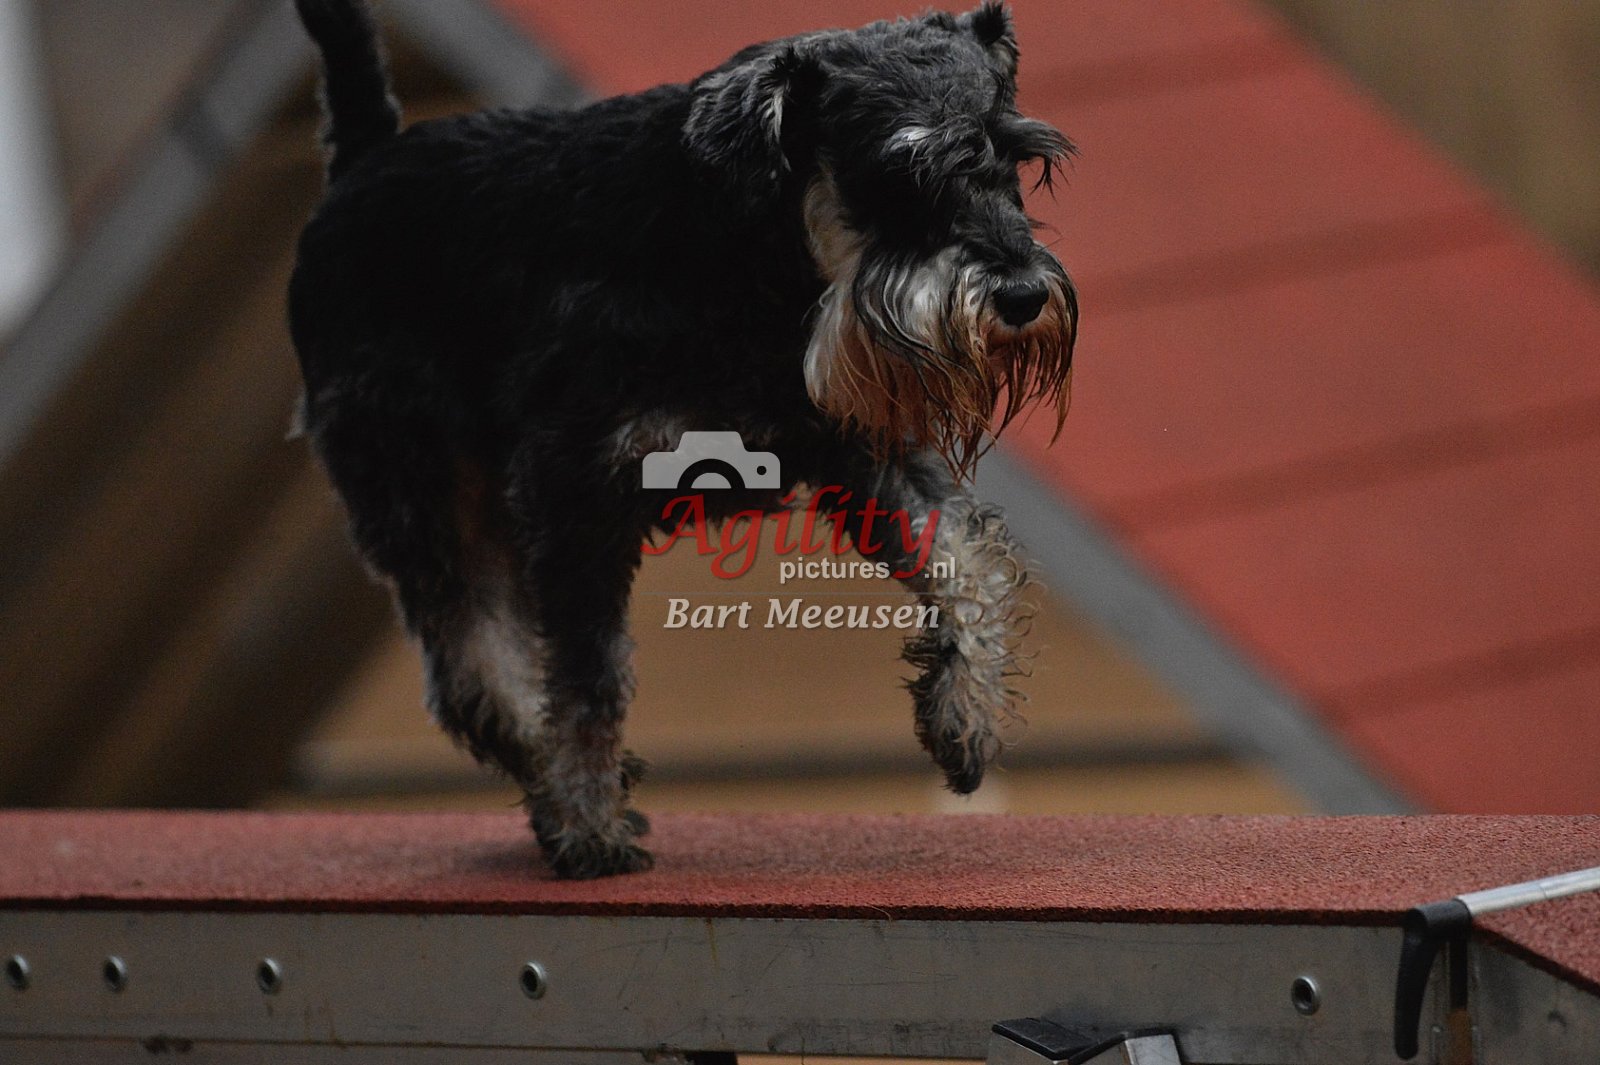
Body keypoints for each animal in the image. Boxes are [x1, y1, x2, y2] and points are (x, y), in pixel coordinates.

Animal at [288, 0, 1077, 878]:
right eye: (900, 175)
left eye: (1016, 164)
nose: (1020, 294)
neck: (753, 263)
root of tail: (366, 158)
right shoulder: (574, 484)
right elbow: (588, 672)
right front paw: (589, 827)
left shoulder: (858, 448)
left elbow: (965, 561)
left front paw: (964, 723)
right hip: (423, 492)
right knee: (475, 667)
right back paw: (564, 800)